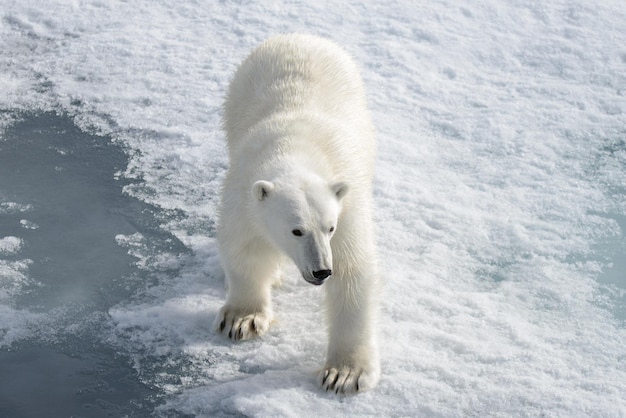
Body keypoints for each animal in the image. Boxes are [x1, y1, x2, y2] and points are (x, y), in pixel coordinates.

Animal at [214, 34, 380, 394]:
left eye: (329, 228)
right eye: (296, 230)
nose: (321, 271)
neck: (296, 146)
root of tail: (299, 37)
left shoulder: (347, 205)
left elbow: (352, 271)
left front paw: (344, 374)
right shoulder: (244, 195)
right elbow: (245, 249)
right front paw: (243, 319)